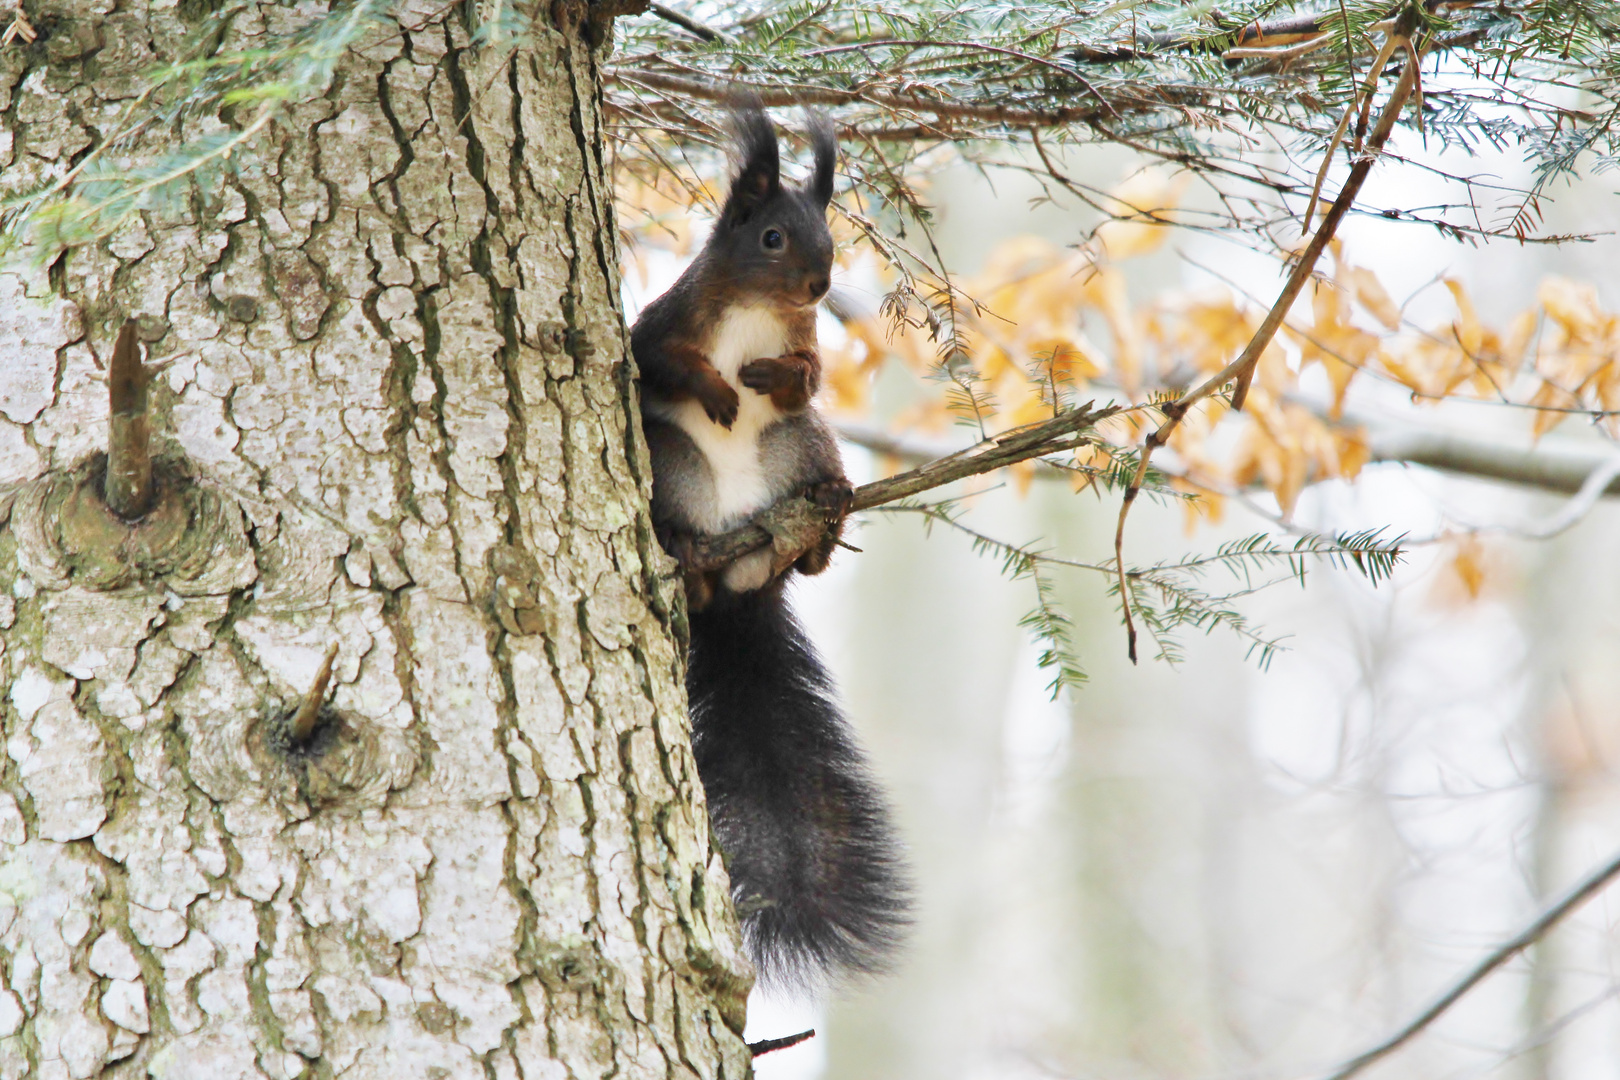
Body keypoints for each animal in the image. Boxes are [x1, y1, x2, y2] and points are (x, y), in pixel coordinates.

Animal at [631, 103, 913, 990]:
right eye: (772, 238)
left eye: (830, 232)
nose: (820, 284)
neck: (756, 312)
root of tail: (740, 591)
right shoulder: (662, 323)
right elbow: (659, 360)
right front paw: (717, 386)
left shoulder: (807, 344)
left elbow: (811, 374)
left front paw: (772, 378)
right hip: (670, 461)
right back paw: (684, 551)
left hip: (802, 445)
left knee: (810, 497)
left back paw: (823, 527)